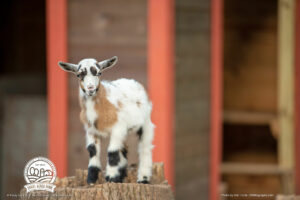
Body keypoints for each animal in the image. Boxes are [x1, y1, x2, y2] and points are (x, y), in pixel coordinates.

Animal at [58, 56, 155, 184]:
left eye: (99, 73)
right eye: (79, 75)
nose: (90, 88)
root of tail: (134, 81)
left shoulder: (117, 128)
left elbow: (112, 152)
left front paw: (111, 177)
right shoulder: (91, 130)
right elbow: (92, 150)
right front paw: (91, 179)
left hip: (146, 123)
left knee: (145, 148)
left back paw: (143, 178)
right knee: (124, 149)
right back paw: (121, 177)